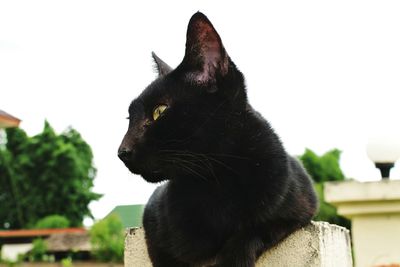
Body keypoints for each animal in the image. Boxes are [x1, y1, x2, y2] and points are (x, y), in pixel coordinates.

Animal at [117, 12, 318, 267]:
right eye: (129, 118)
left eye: (159, 111)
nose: (121, 151)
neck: (214, 180)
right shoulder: (152, 219)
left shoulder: (301, 205)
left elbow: (256, 228)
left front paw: (234, 257)